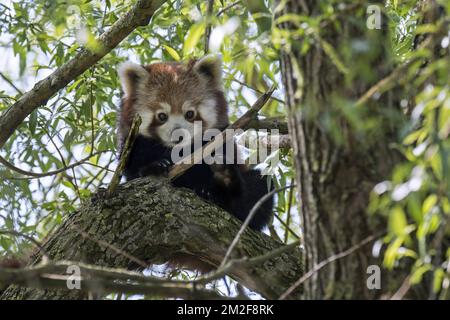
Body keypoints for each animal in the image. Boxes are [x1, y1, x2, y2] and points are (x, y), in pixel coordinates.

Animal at [116, 54, 272, 230]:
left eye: (189, 114)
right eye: (162, 116)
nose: (178, 135)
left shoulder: (222, 142)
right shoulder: (135, 144)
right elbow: (133, 171)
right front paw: (154, 166)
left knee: (259, 186)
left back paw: (222, 180)